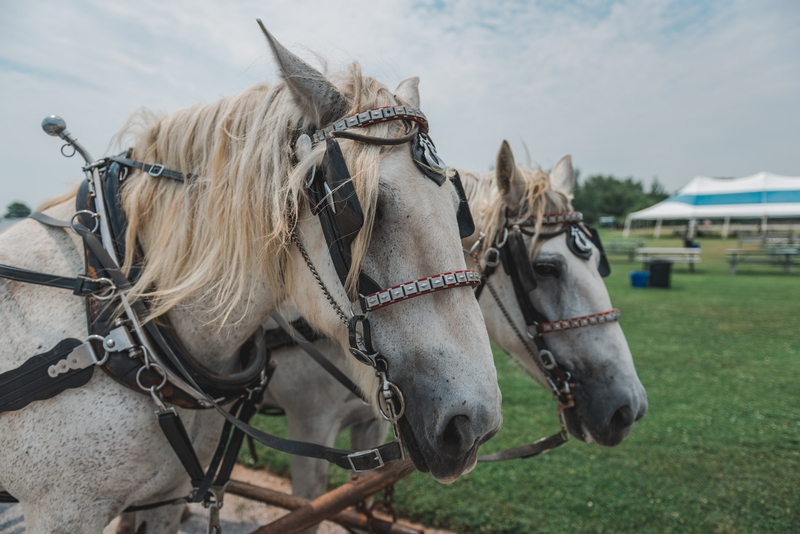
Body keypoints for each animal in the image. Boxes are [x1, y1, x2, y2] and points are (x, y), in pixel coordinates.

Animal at [0, 28, 500, 534]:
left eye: (459, 211)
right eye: (357, 208)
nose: (474, 424)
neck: (122, 320)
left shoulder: (164, 498)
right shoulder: (65, 510)